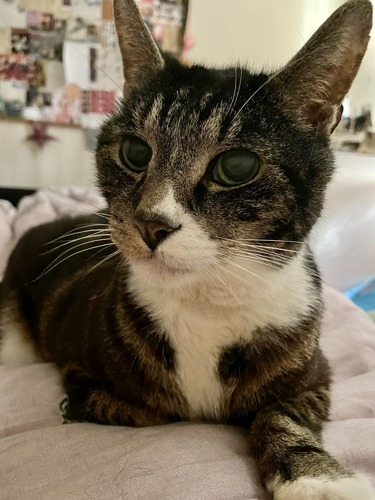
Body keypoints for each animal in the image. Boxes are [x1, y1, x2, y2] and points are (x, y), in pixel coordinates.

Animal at [0, 0, 375, 498]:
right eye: (135, 152)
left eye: (237, 167)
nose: (151, 224)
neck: (206, 301)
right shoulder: (81, 378)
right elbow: (155, 412)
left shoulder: (317, 379)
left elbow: (279, 412)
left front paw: (317, 478)